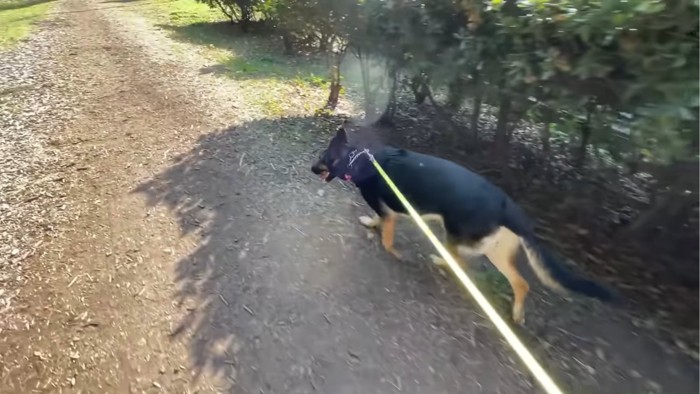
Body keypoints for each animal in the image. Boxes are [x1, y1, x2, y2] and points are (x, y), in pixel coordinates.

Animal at [312, 125, 612, 324]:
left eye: (321, 159)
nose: (311, 168)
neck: (359, 161)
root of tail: (507, 209)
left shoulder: (388, 213)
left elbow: (384, 231)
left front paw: (388, 246)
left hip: (457, 236)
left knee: (461, 261)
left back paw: (442, 261)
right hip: (496, 250)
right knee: (521, 283)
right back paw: (517, 314)